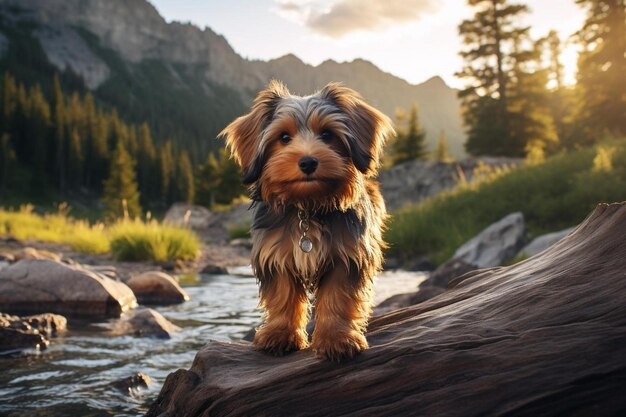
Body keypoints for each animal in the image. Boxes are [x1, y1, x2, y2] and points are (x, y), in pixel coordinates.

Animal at [222, 81, 392, 360]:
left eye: (327, 134)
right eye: (284, 137)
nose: (308, 161)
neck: (308, 206)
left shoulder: (347, 256)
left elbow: (338, 297)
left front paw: (337, 338)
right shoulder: (275, 256)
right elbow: (283, 296)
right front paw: (280, 334)